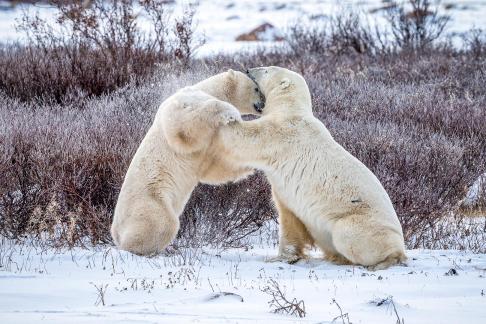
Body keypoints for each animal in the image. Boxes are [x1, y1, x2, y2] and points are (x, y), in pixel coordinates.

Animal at [112, 71, 264, 256]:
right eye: (256, 88)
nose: (264, 103)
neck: (205, 89)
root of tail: (116, 233)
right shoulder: (182, 104)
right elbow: (184, 125)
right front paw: (231, 112)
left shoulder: (210, 144)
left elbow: (215, 166)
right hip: (148, 200)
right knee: (161, 223)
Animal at [217, 66, 406, 270]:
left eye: (267, 70)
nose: (249, 69)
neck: (291, 108)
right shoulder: (286, 195)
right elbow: (290, 219)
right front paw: (285, 257)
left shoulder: (283, 132)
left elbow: (247, 138)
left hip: (362, 223)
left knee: (349, 235)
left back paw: (379, 262)